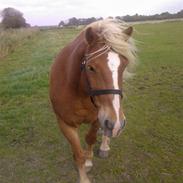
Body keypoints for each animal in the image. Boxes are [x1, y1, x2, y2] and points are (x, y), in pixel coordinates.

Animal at [49, 19, 137, 183]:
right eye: (90, 68)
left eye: (124, 65)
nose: (117, 124)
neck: (79, 92)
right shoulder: (65, 124)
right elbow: (78, 153)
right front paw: (83, 176)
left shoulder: (99, 118)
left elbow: (90, 138)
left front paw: (89, 160)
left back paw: (104, 146)